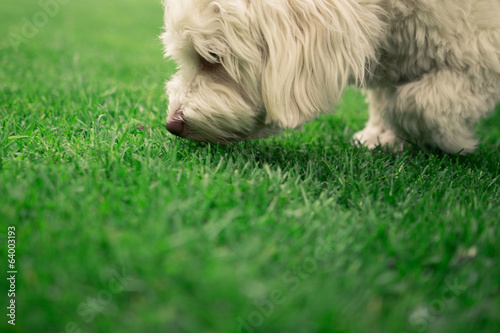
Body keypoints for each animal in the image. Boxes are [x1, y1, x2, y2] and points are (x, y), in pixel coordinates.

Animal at [162, 0, 500, 153]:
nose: (172, 125)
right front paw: (382, 134)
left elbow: (416, 103)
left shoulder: (484, 52)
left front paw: (453, 139)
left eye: (212, 58)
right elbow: (388, 98)